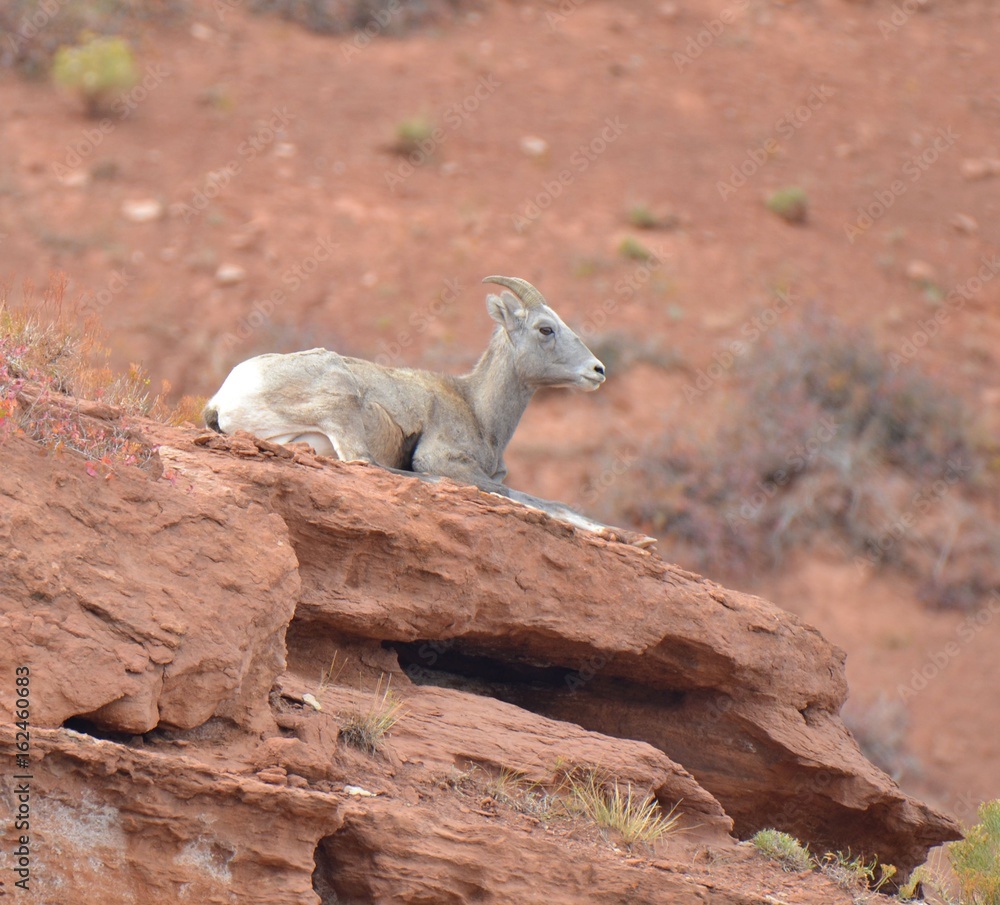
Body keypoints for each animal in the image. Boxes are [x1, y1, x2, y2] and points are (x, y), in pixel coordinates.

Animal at [204, 276, 648, 544]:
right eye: (545, 329)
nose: (597, 370)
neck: (478, 410)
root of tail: (224, 396)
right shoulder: (443, 459)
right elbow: (516, 495)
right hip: (341, 401)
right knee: (365, 463)